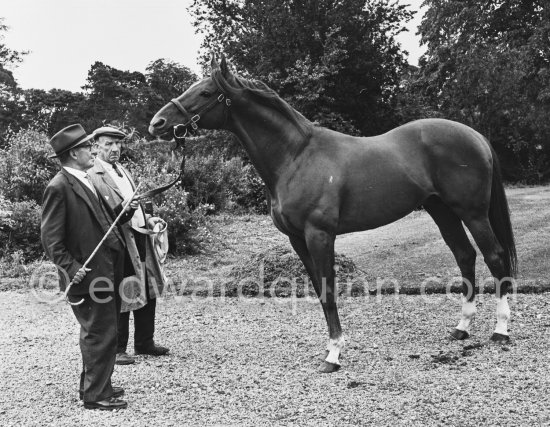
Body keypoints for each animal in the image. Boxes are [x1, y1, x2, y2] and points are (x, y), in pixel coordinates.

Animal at [149, 56, 520, 374]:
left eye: (205, 92)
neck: (296, 156)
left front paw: (334, 355)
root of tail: (475, 136)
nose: (157, 123)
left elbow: (328, 289)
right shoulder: (298, 239)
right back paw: (461, 328)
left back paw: (500, 330)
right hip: (441, 210)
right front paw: (331, 347)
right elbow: (318, 289)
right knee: (465, 255)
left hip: (472, 213)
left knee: (494, 257)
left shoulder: (320, 234)